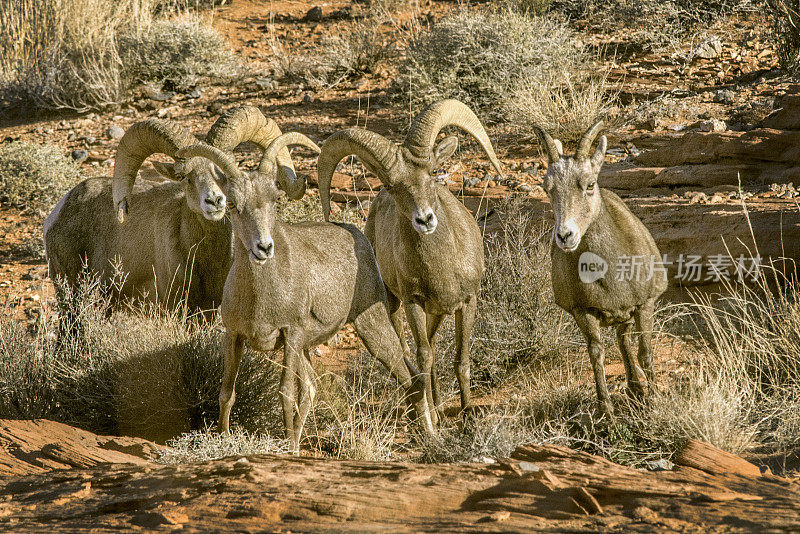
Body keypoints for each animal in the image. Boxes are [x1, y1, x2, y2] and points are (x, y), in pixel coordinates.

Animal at [177, 134, 438, 452]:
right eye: (234, 205)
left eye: (275, 200)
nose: (264, 248)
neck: (259, 297)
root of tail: (357, 236)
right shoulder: (235, 336)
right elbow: (227, 392)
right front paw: (225, 439)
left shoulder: (290, 335)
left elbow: (286, 393)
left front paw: (288, 449)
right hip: (310, 348)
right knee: (313, 388)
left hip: (371, 327)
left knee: (410, 379)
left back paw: (429, 437)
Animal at [316, 98, 504, 420]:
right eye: (393, 186)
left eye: (432, 172)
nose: (425, 220)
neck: (443, 267)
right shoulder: (413, 302)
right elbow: (424, 357)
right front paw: (434, 417)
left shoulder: (468, 301)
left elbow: (462, 359)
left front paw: (467, 412)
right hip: (394, 303)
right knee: (408, 352)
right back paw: (428, 407)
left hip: (438, 313)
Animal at [536, 122, 664, 418]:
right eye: (548, 188)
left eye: (590, 184)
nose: (565, 236)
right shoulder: (582, 312)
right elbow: (596, 354)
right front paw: (606, 411)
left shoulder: (646, 304)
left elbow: (645, 352)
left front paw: (654, 403)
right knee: (621, 340)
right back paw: (634, 390)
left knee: (626, 341)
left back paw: (640, 392)